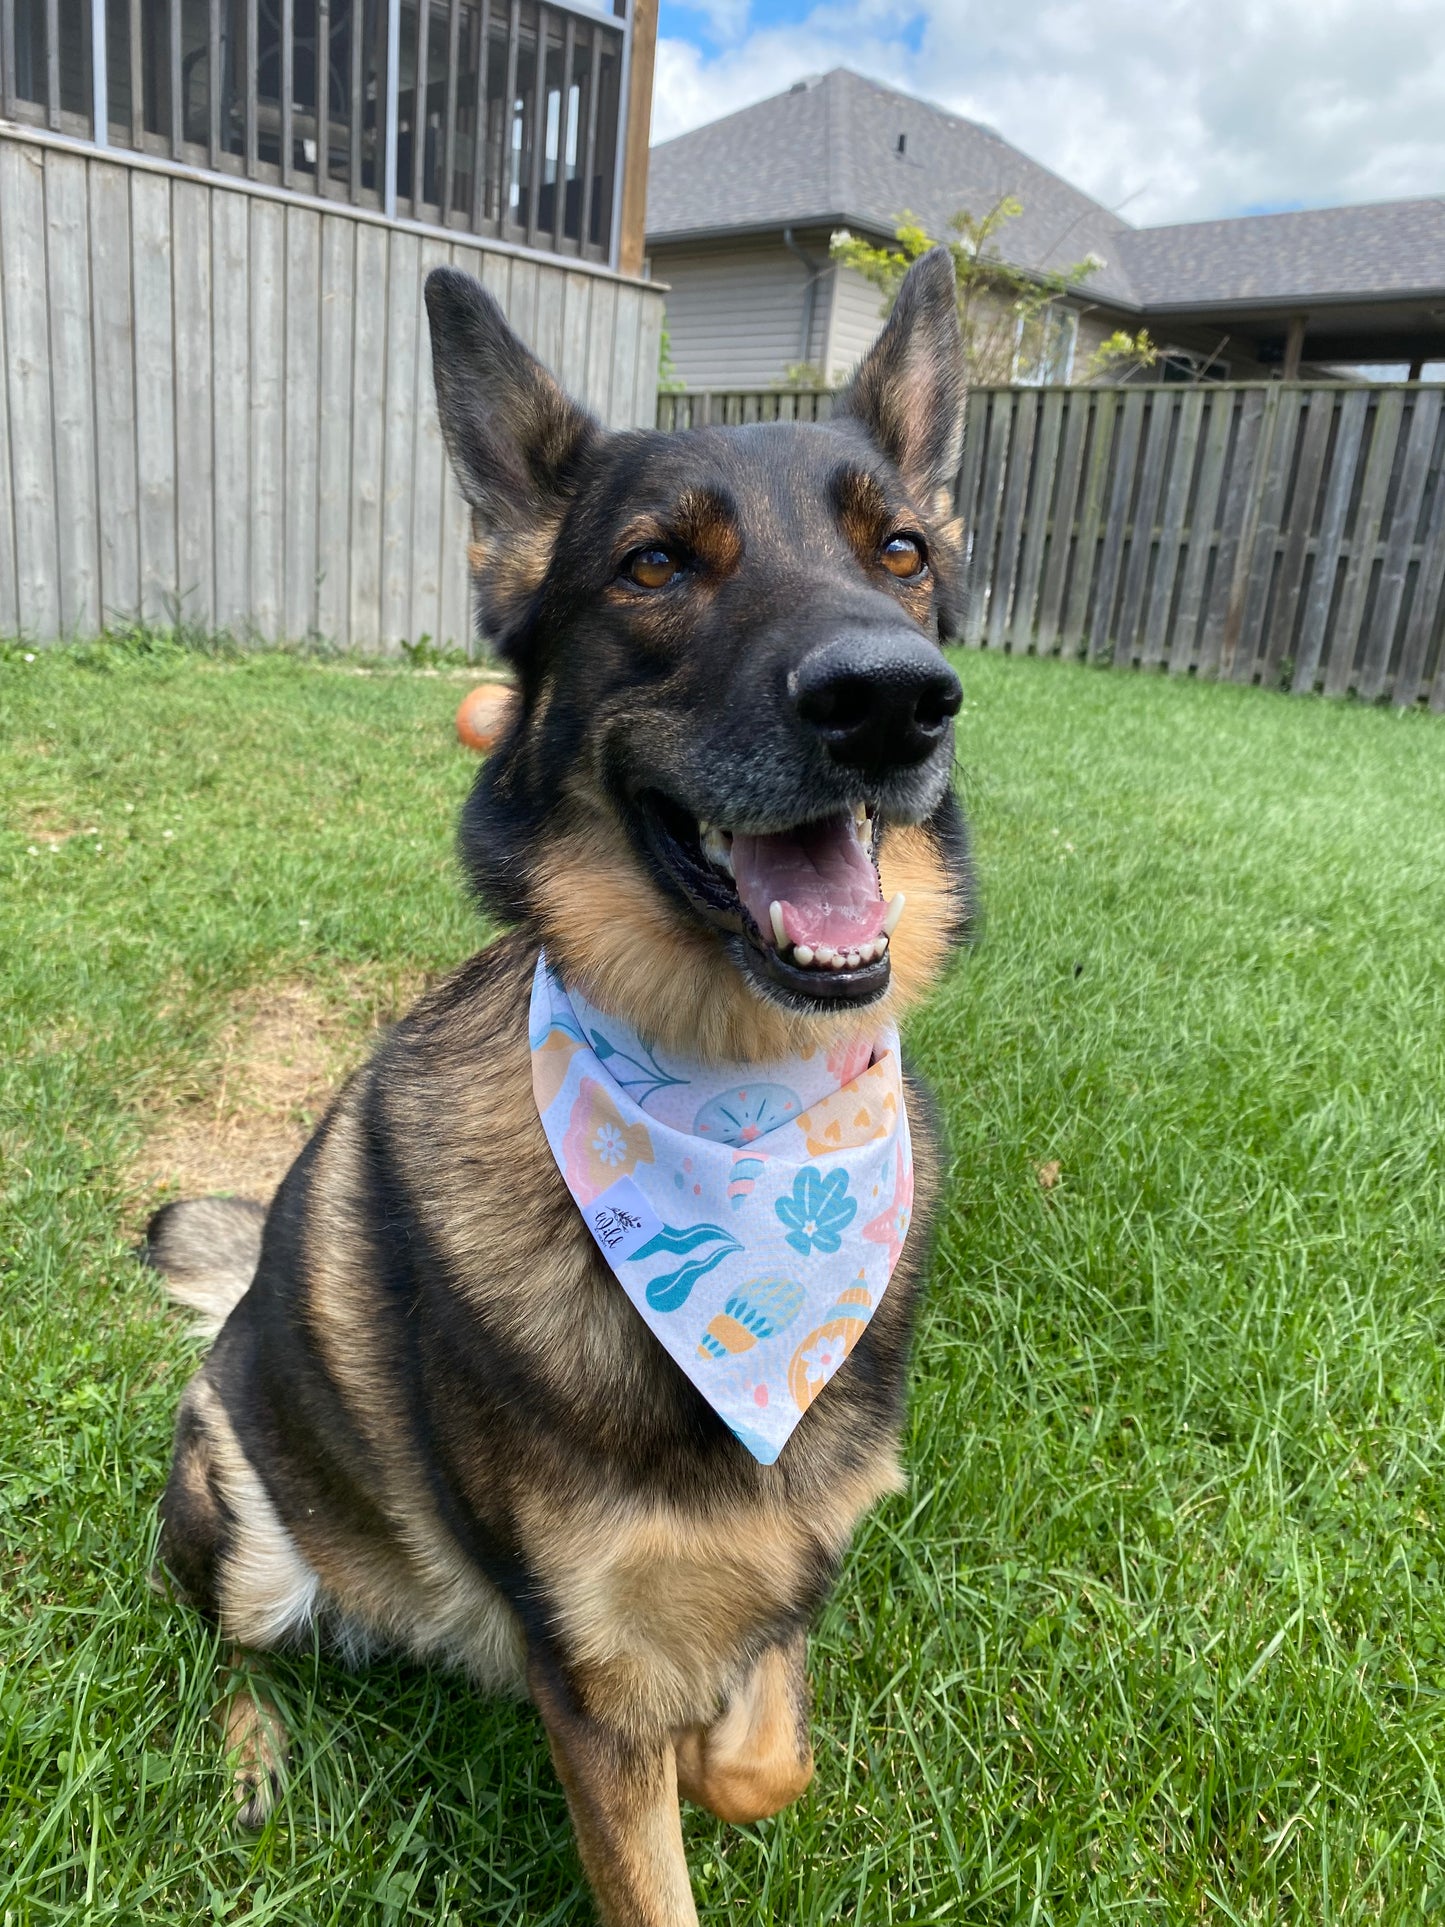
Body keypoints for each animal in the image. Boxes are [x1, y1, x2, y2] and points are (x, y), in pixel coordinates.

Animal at [150, 248, 974, 1919]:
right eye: (655, 566)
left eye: (901, 551)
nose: (892, 698)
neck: (739, 1112)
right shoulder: (585, 1668)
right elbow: (655, 1840)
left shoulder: (789, 1559)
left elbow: (758, 1753)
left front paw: (731, 1738)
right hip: (247, 1534)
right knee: (241, 1651)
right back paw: (258, 1755)